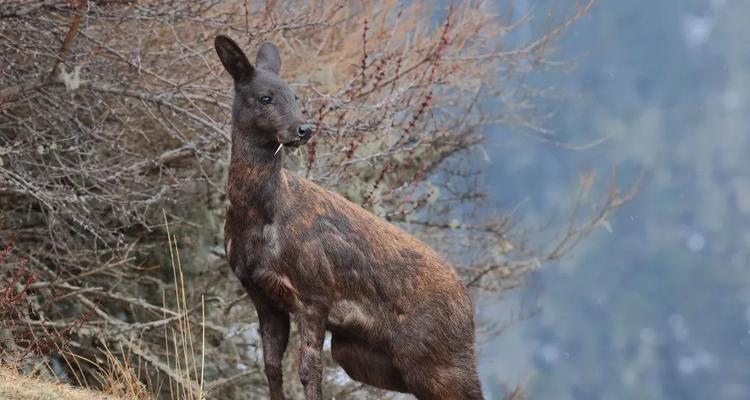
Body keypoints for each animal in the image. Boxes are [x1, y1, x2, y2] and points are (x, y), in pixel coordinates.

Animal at [216, 35, 488, 400]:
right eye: (265, 97)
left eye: (296, 96)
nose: (303, 129)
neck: (262, 219)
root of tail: (467, 307)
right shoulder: (262, 295)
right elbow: (272, 367)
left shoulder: (314, 292)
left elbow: (309, 372)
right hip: (362, 355)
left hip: (439, 360)